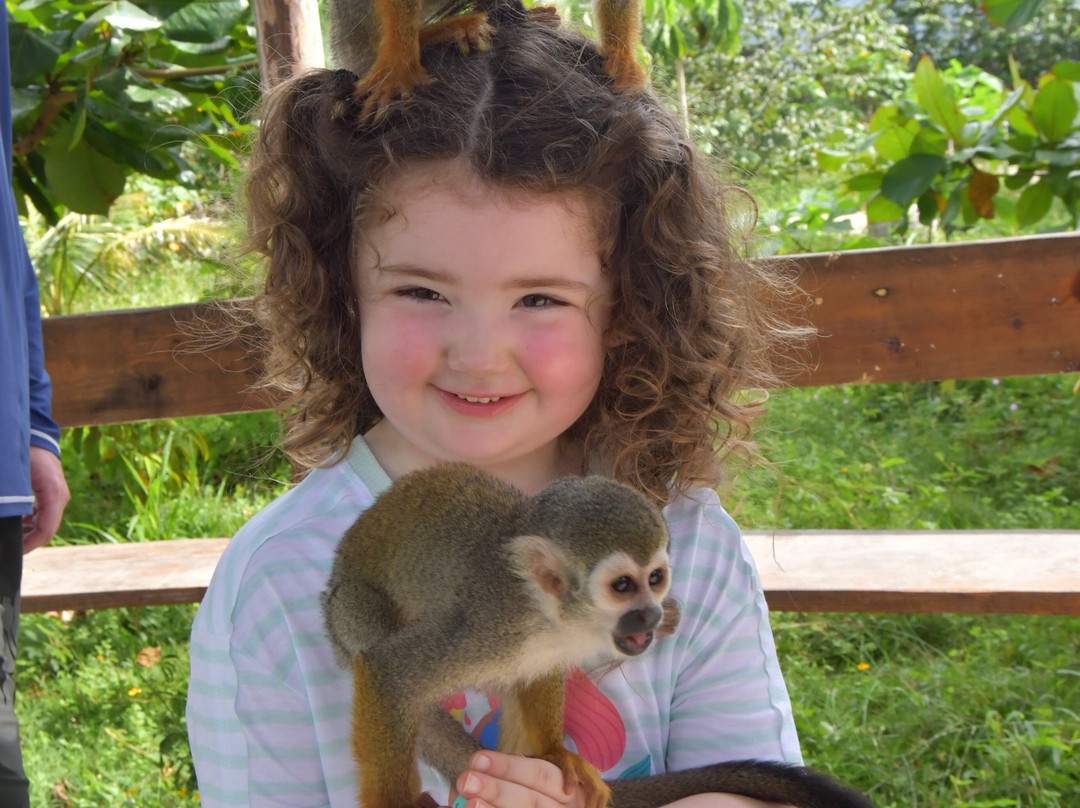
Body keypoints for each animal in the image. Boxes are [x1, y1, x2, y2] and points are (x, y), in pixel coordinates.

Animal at [322, 462, 678, 808]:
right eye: (622, 585)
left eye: (655, 578)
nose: (651, 614)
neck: (543, 611)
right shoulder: (487, 627)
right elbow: (387, 670)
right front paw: (393, 803)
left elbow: (539, 673)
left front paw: (553, 753)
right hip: (348, 614)